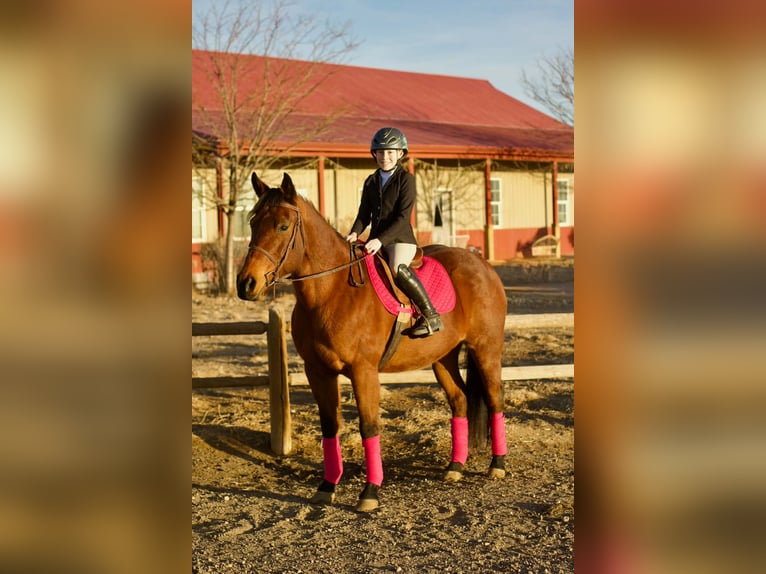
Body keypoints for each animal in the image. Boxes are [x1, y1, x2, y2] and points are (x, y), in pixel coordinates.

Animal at [237, 172, 508, 512]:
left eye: (283, 226)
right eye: (252, 222)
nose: (246, 284)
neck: (331, 292)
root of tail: (481, 264)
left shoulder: (363, 371)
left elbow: (369, 426)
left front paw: (370, 492)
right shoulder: (318, 371)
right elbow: (330, 425)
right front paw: (327, 486)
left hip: (486, 350)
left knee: (495, 399)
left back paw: (498, 464)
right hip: (442, 358)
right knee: (459, 399)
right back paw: (455, 467)